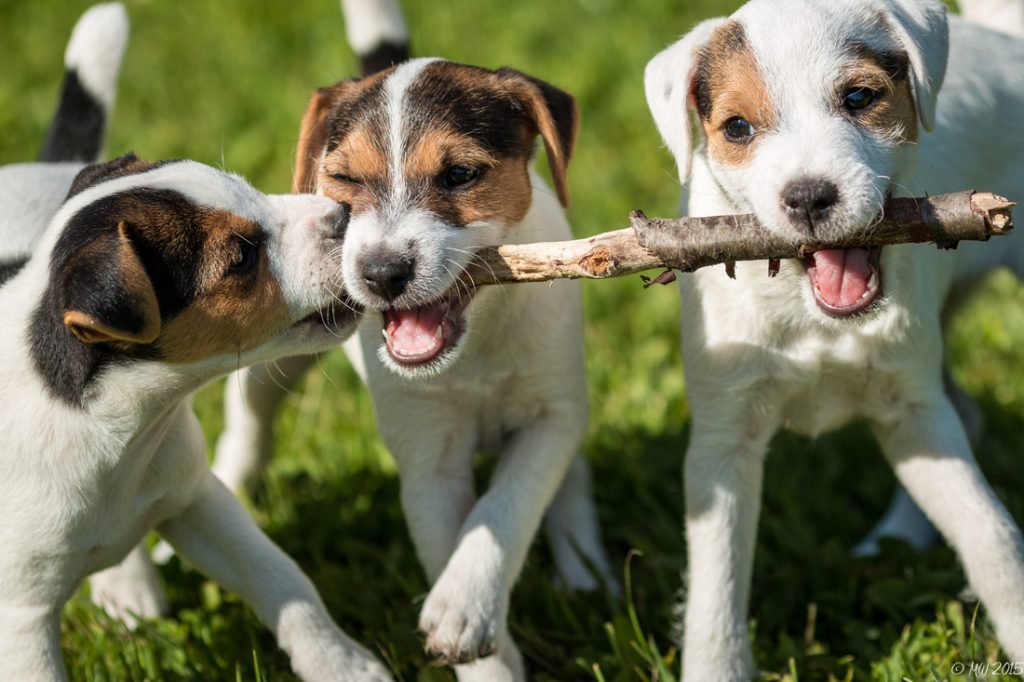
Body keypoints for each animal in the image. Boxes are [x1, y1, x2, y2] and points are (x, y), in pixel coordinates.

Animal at [0, 153, 389, 679]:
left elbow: (282, 579)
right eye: (241, 257)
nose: (343, 213)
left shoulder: (198, 498)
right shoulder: (22, 619)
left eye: (251, 189)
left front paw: (342, 664)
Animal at [643, 0, 1024, 675]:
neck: (812, 316)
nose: (808, 198)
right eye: (737, 127)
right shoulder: (724, 440)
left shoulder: (911, 409)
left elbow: (990, 536)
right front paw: (717, 666)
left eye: (859, 97)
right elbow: (716, 589)